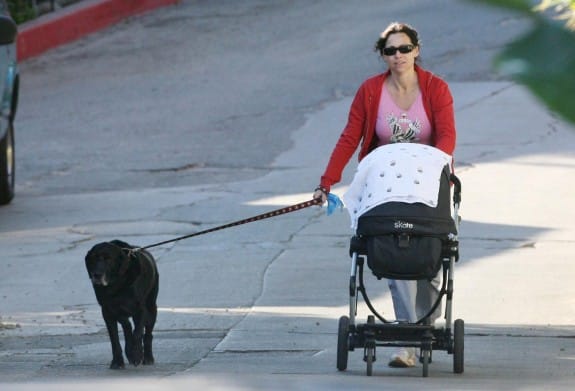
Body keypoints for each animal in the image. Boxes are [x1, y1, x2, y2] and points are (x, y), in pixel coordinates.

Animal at [84, 239, 160, 370]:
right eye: (93, 258)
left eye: (108, 259)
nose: (96, 275)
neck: (116, 284)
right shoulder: (107, 311)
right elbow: (116, 338)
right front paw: (118, 361)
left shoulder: (140, 309)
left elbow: (137, 333)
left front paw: (136, 355)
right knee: (128, 327)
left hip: (151, 308)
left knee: (148, 334)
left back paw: (147, 357)